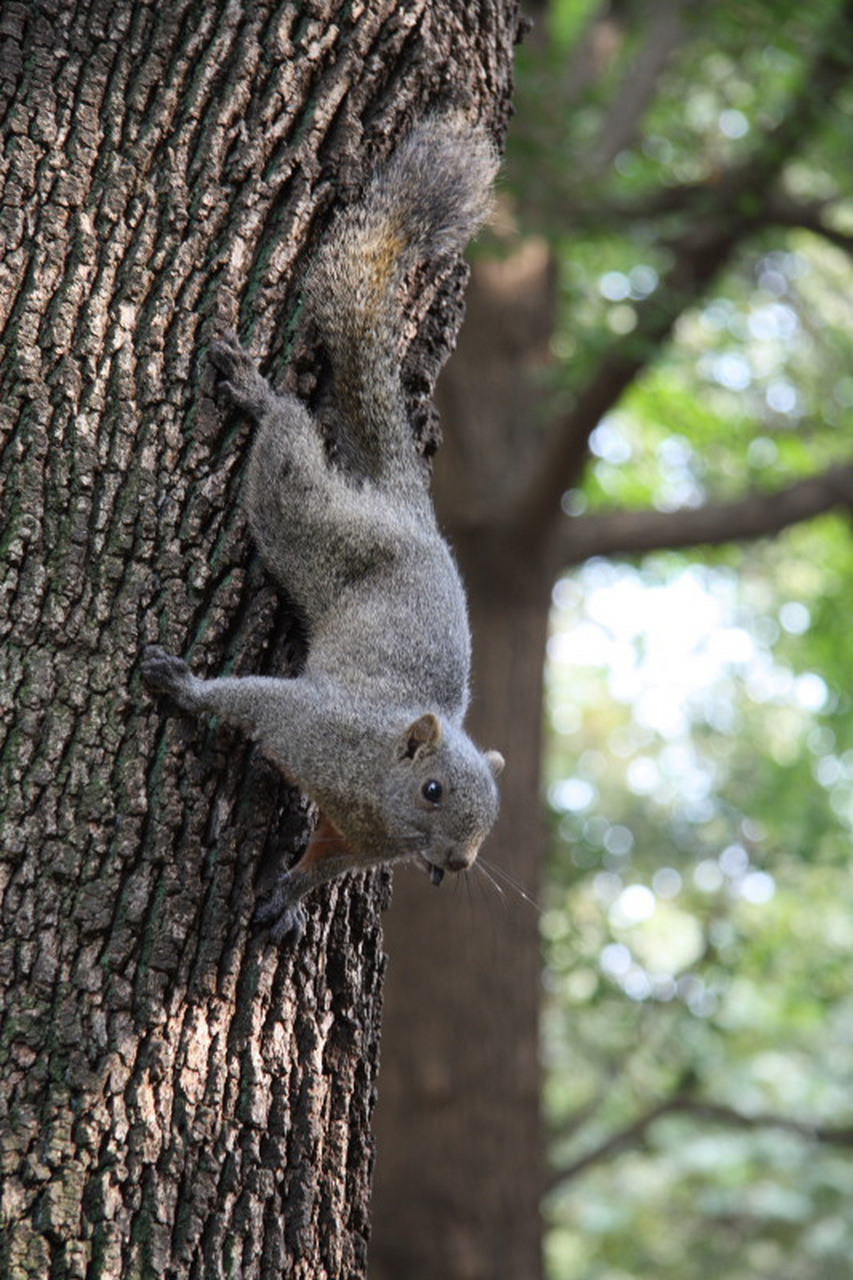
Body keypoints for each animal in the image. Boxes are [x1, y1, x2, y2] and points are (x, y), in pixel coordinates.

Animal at [138, 112, 499, 942]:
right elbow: (245, 700)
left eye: (490, 820)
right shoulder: (308, 723)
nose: (456, 864)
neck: (371, 788)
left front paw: (291, 896)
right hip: (312, 524)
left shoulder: (356, 837)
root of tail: (410, 513)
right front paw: (186, 687)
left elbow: (326, 861)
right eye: (433, 791)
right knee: (286, 454)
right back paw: (257, 394)